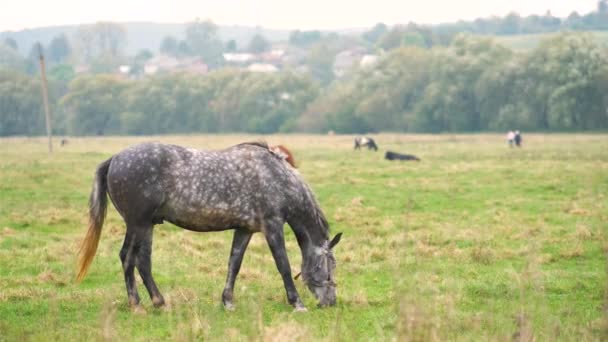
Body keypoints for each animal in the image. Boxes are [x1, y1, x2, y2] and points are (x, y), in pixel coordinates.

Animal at [76, 140, 342, 312]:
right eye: (329, 268)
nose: (330, 302)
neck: (276, 176)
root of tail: (115, 159)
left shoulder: (245, 229)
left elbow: (234, 264)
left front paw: (228, 302)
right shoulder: (272, 226)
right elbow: (283, 266)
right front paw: (296, 302)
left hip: (147, 226)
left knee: (142, 262)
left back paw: (159, 302)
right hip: (137, 224)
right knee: (128, 258)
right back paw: (137, 304)